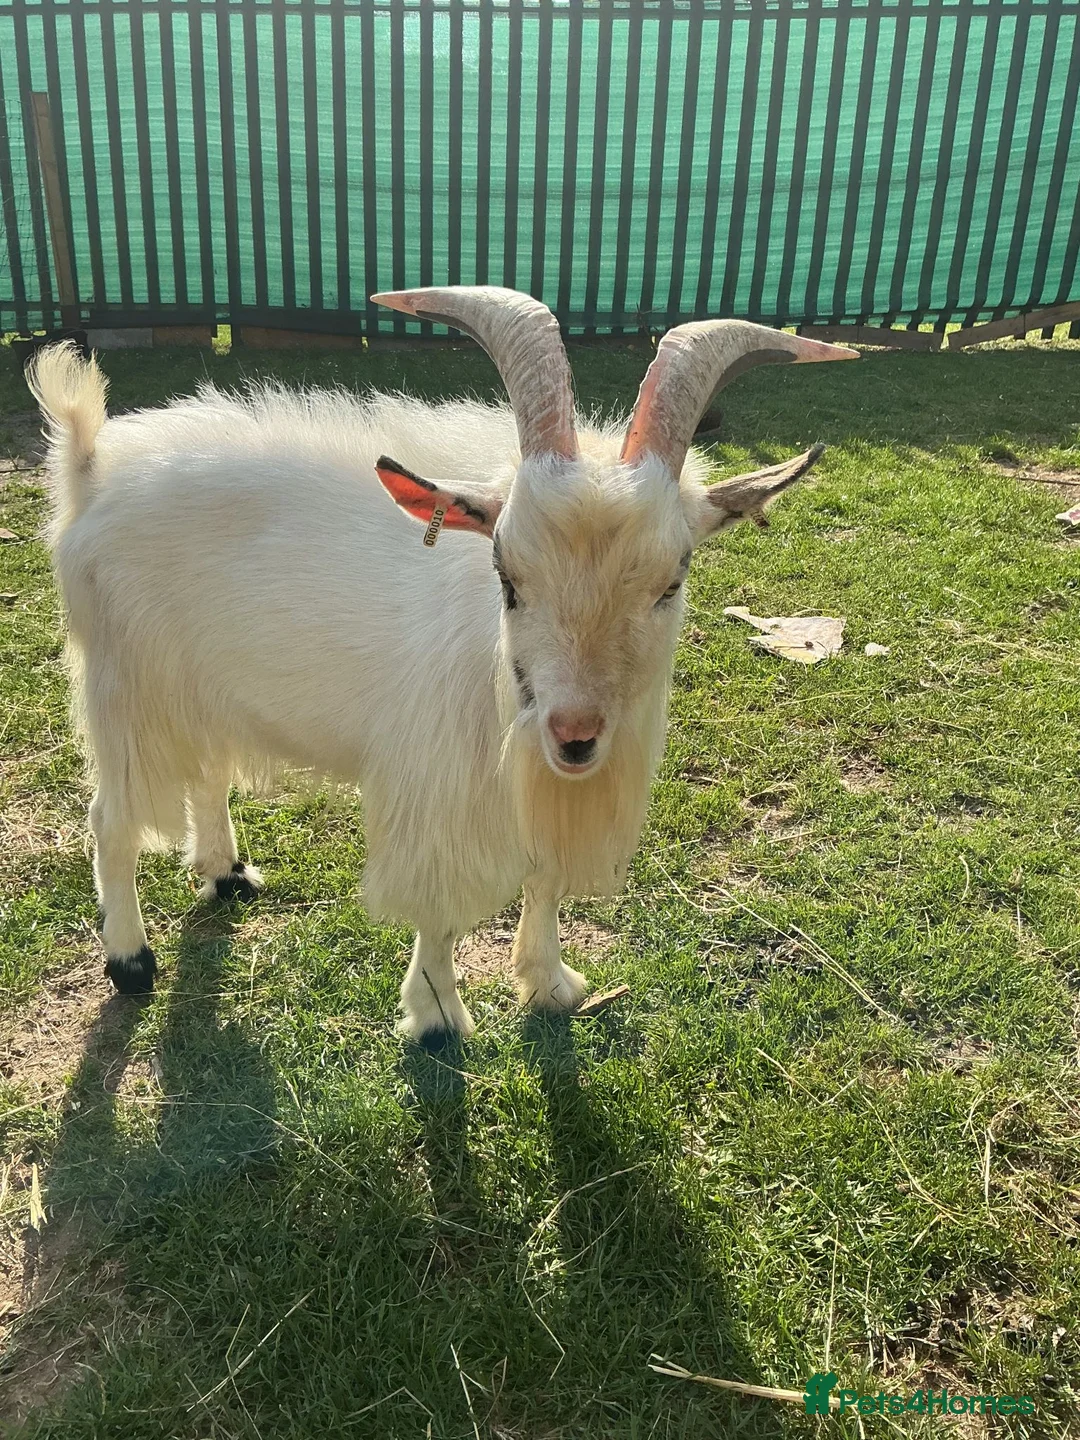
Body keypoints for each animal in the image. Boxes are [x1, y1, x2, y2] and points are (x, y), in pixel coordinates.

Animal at [28, 288, 855, 1041]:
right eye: (506, 576)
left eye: (672, 581)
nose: (576, 734)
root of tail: (92, 468)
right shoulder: (440, 788)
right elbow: (440, 910)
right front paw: (435, 1017)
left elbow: (544, 880)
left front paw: (549, 982)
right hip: (128, 686)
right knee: (111, 818)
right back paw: (131, 961)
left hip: (202, 685)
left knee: (207, 772)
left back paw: (225, 874)